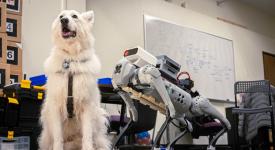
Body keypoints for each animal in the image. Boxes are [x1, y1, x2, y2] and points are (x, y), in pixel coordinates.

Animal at [39, 9, 110, 149]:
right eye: (61, 16)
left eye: (74, 16)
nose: (64, 20)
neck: (71, 60)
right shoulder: (55, 106)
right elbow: (58, 137)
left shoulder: (86, 106)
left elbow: (87, 135)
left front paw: (87, 148)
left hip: (98, 121)